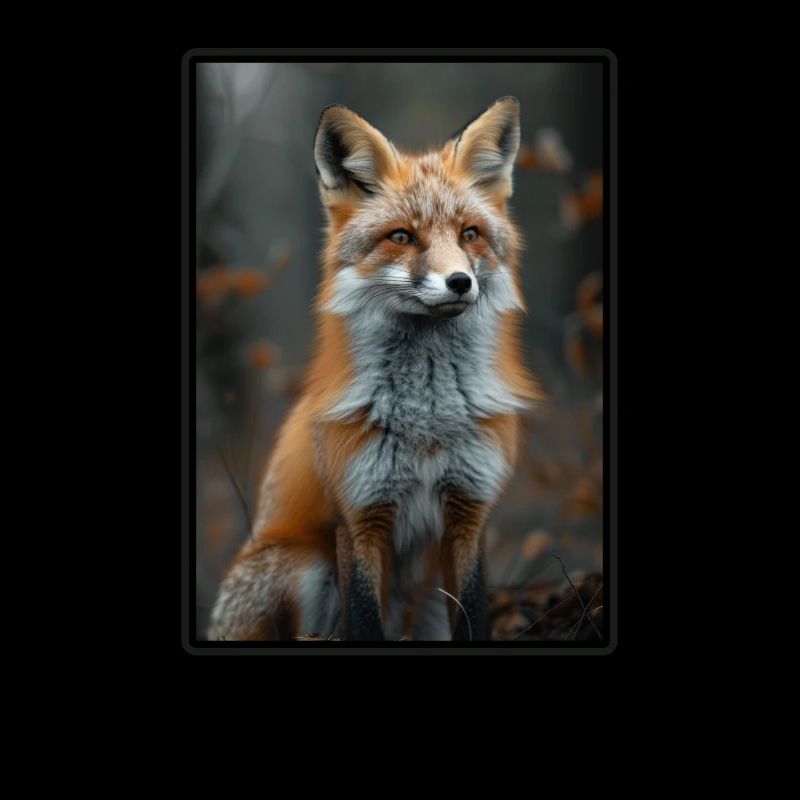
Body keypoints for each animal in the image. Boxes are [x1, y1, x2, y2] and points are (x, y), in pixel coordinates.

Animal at [208, 96, 541, 641]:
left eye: (469, 234)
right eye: (402, 237)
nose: (460, 282)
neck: (428, 420)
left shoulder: (469, 510)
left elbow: (473, 614)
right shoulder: (360, 515)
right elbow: (364, 618)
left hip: (427, 599)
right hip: (305, 564)